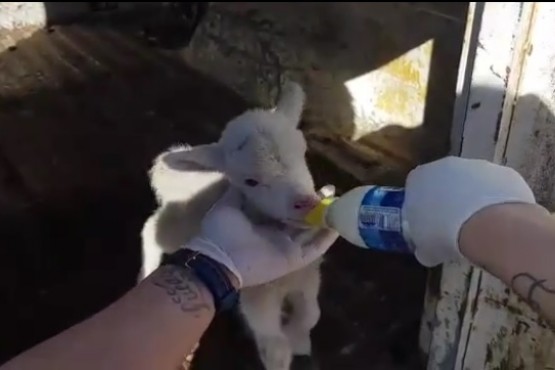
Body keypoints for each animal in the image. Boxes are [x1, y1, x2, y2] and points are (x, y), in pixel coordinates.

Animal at [139, 81, 338, 370]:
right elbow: (272, 338)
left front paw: (300, 339)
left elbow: (313, 314)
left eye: (303, 153)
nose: (306, 203)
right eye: (250, 181)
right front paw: (279, 352)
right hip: (175, 224)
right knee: (150, 229)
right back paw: (146, 270)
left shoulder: (308, 275)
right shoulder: (257, 297)